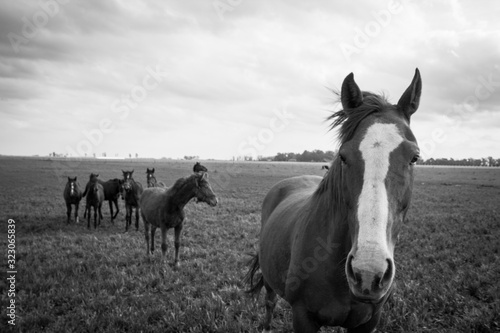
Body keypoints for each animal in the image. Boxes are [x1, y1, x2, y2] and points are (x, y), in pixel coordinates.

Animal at [246, 68, 422, 330]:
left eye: (414, 157)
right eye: (343, 156)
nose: (368, 273)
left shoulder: (368, 322)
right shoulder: (303, 317)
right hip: (269, 279)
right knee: (269, 302)